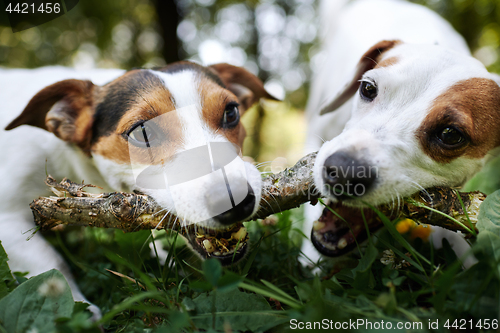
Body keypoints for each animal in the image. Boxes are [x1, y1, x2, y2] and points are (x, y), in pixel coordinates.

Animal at [0, 61, 274, 314]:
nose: (235, 200)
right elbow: (52, 262)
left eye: (231, 112)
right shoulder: (8, 219)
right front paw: (76, 304)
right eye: (142, 132)